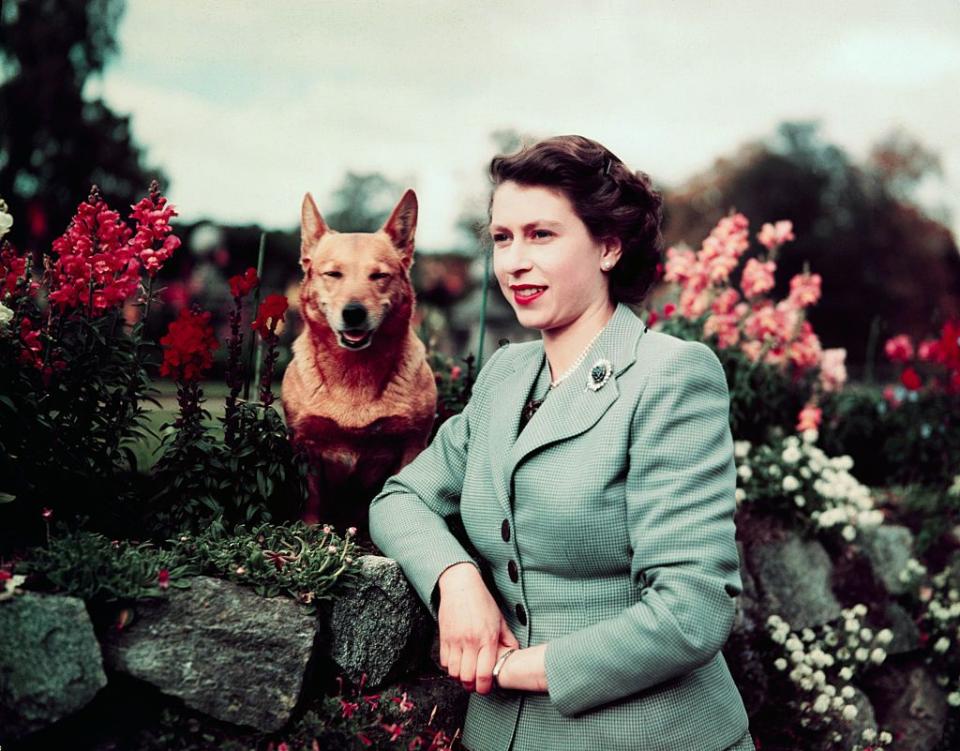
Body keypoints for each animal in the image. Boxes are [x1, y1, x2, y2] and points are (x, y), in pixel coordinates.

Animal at [282, 191, 438, 536]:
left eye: (379, 276)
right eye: (332, 274)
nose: (353, 312)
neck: (354, 373)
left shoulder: (412, 444)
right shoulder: (305, 445)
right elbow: (311, 500)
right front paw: (309, 535)